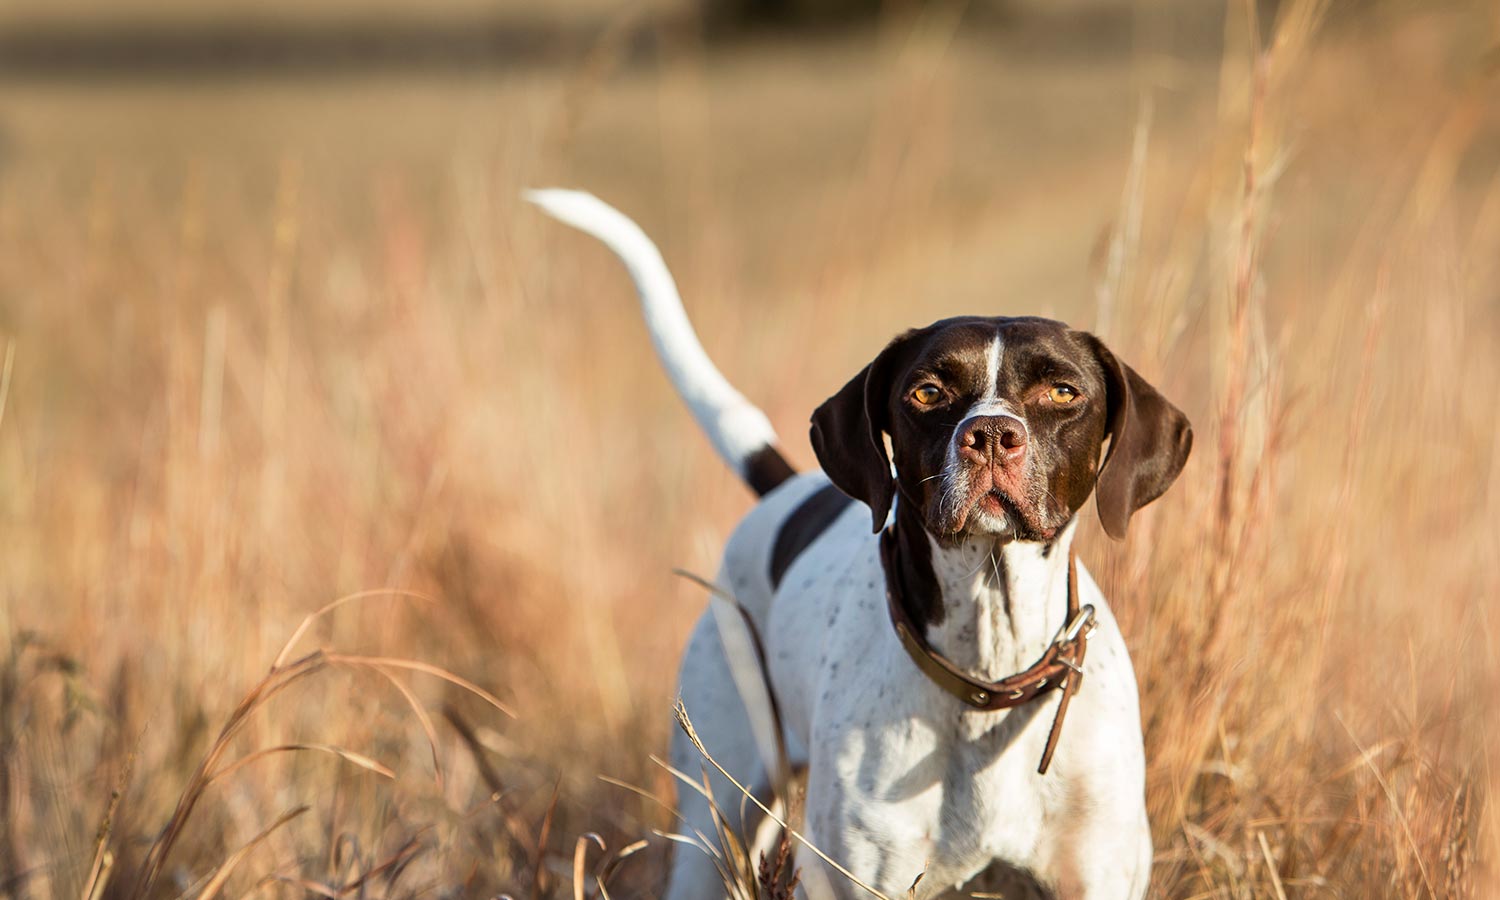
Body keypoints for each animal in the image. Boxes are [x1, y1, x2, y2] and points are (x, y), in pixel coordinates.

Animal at [534, 191, 1188, 900]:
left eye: (1063, 391)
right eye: (927, 391)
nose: (990, 434)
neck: (988, 670)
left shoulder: (1097, 874)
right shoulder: (860, 877)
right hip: (714, 825)